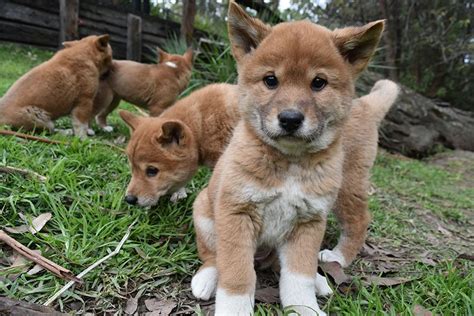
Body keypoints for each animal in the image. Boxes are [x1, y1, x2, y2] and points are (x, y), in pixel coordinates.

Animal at [191, 1, 398, 314]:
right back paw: (206, 279)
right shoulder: (236, 214)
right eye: (271, 80)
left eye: (319, 83)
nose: (290, 119)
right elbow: (237, 275)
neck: (289, 164)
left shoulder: (308, 223)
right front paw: (235, 307)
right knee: (213, 256)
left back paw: (329, 267)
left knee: (354, 224)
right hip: (204, 212)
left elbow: (298, 277)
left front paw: (305, 307)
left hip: (346, 187)